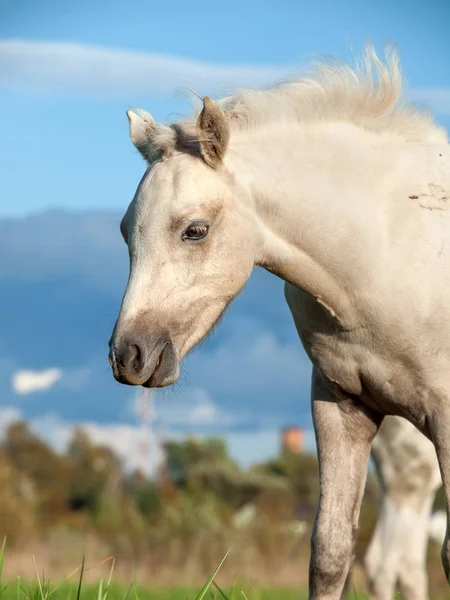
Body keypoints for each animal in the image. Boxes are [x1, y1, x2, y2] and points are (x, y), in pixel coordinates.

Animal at [110, 48, 450, 600]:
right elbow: (330, 550)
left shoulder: (446, 416)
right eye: (126, 232)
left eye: (195, 230)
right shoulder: (341, 406)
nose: (129, 356)